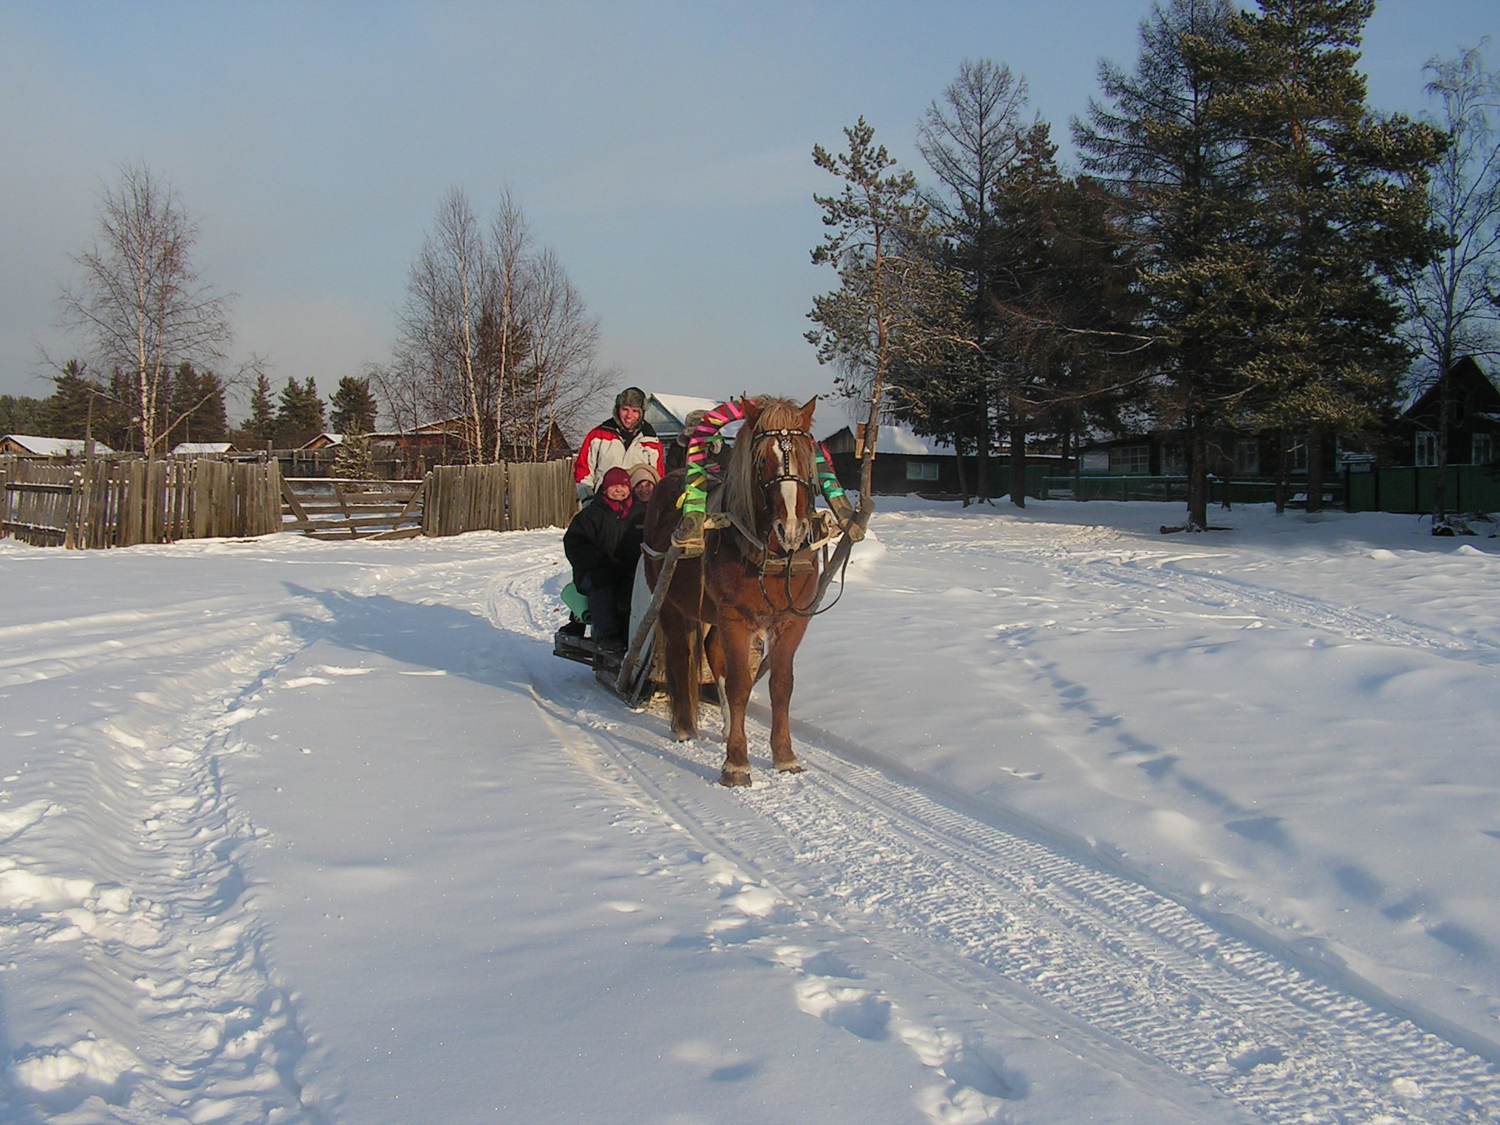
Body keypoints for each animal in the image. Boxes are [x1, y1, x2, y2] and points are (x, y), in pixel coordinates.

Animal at [645, 402, 828, 786]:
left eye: (806, 455)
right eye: (762, 460)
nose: (791, 530)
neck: (772, 558)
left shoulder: (791, 623)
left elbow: (781, 685)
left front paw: (784, 756)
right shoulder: (735, 619)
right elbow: (741, 683)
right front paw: (736, 763)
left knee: (713, 655)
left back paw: (729, 724)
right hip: (671, 604)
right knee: (682, 655)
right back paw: (685, 727)